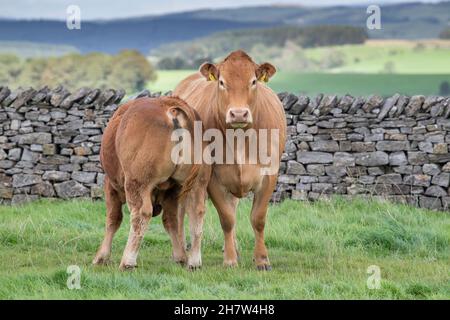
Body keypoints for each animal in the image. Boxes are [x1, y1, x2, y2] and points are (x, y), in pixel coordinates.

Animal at [94, 95, 210, 270]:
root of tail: (170, 106)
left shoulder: (111, 186)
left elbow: (113, 219)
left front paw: (102, 256)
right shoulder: (172, 190)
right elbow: (170, 221)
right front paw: (180, 256)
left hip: (137, 183)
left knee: (140, 214)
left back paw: (128, 261)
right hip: (198, 184)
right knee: (197, 213)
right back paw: (194, 261)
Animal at [174, 50, 286, 270]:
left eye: (253, 81)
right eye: (222, 82)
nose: (238, 113)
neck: (240, 139)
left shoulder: (269, 175)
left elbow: (258, 218)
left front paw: (262, 259)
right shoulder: (213, 179)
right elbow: (227, 219)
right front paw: (230, 260)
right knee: (181, 211)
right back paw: (183, 254)